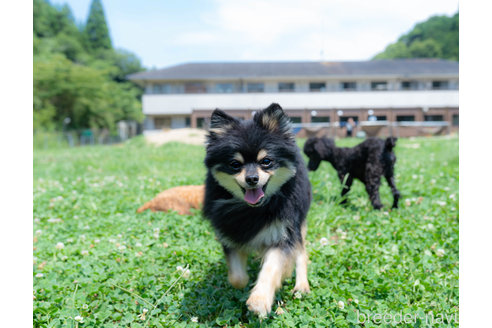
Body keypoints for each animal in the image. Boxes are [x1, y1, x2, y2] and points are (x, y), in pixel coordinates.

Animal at [203, 104, 312, 316]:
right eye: (235, 164)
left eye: (266, 161)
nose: (252, 178)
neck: (255, 209)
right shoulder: (230, 233)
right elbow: (237, 277)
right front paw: (245, 283)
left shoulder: (284, 232)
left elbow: (272, 267)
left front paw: (259, 300)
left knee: (301, 252)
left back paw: (301, 285)